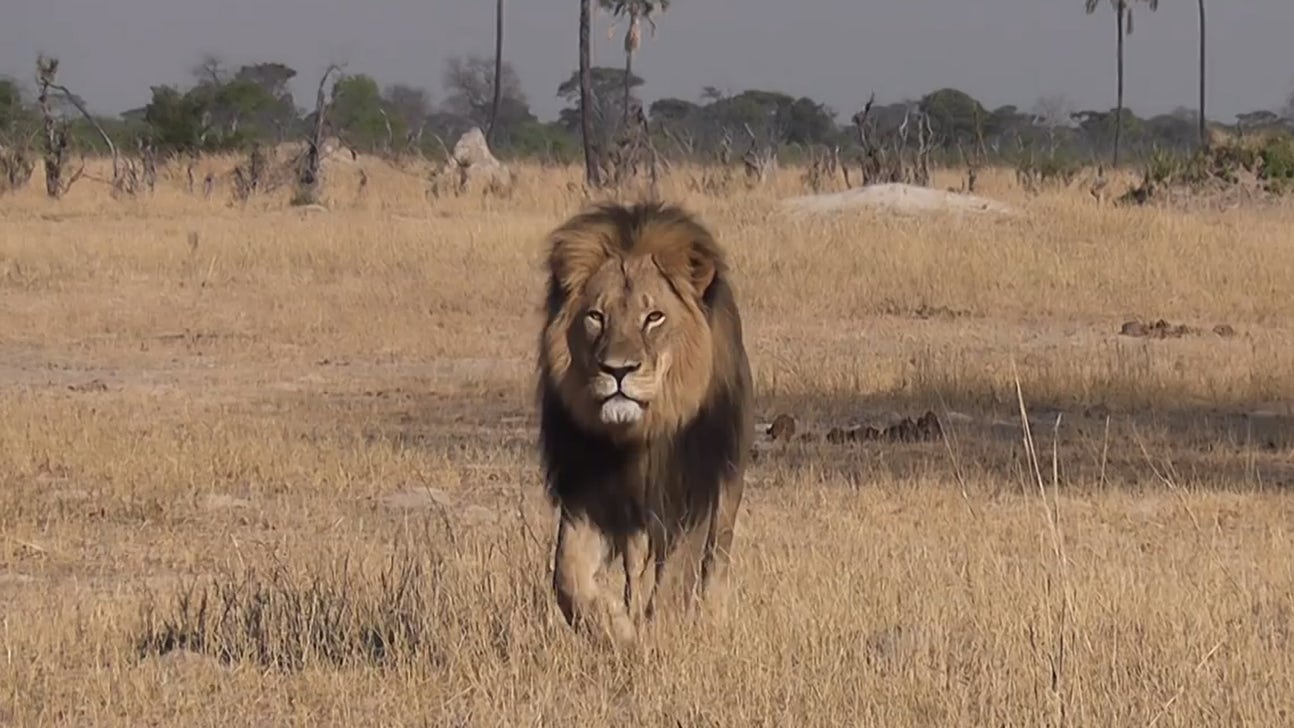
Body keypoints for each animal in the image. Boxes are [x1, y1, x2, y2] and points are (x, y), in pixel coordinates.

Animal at [536, 200, 754, 646]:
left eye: (654, 317)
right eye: (595, 316)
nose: (618, 370)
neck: (638, 438)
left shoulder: (691, 493)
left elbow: (677, 579)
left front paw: (663, 638)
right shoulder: (590, 493)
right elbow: (567, 576)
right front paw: (618, 632)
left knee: (715, 563)